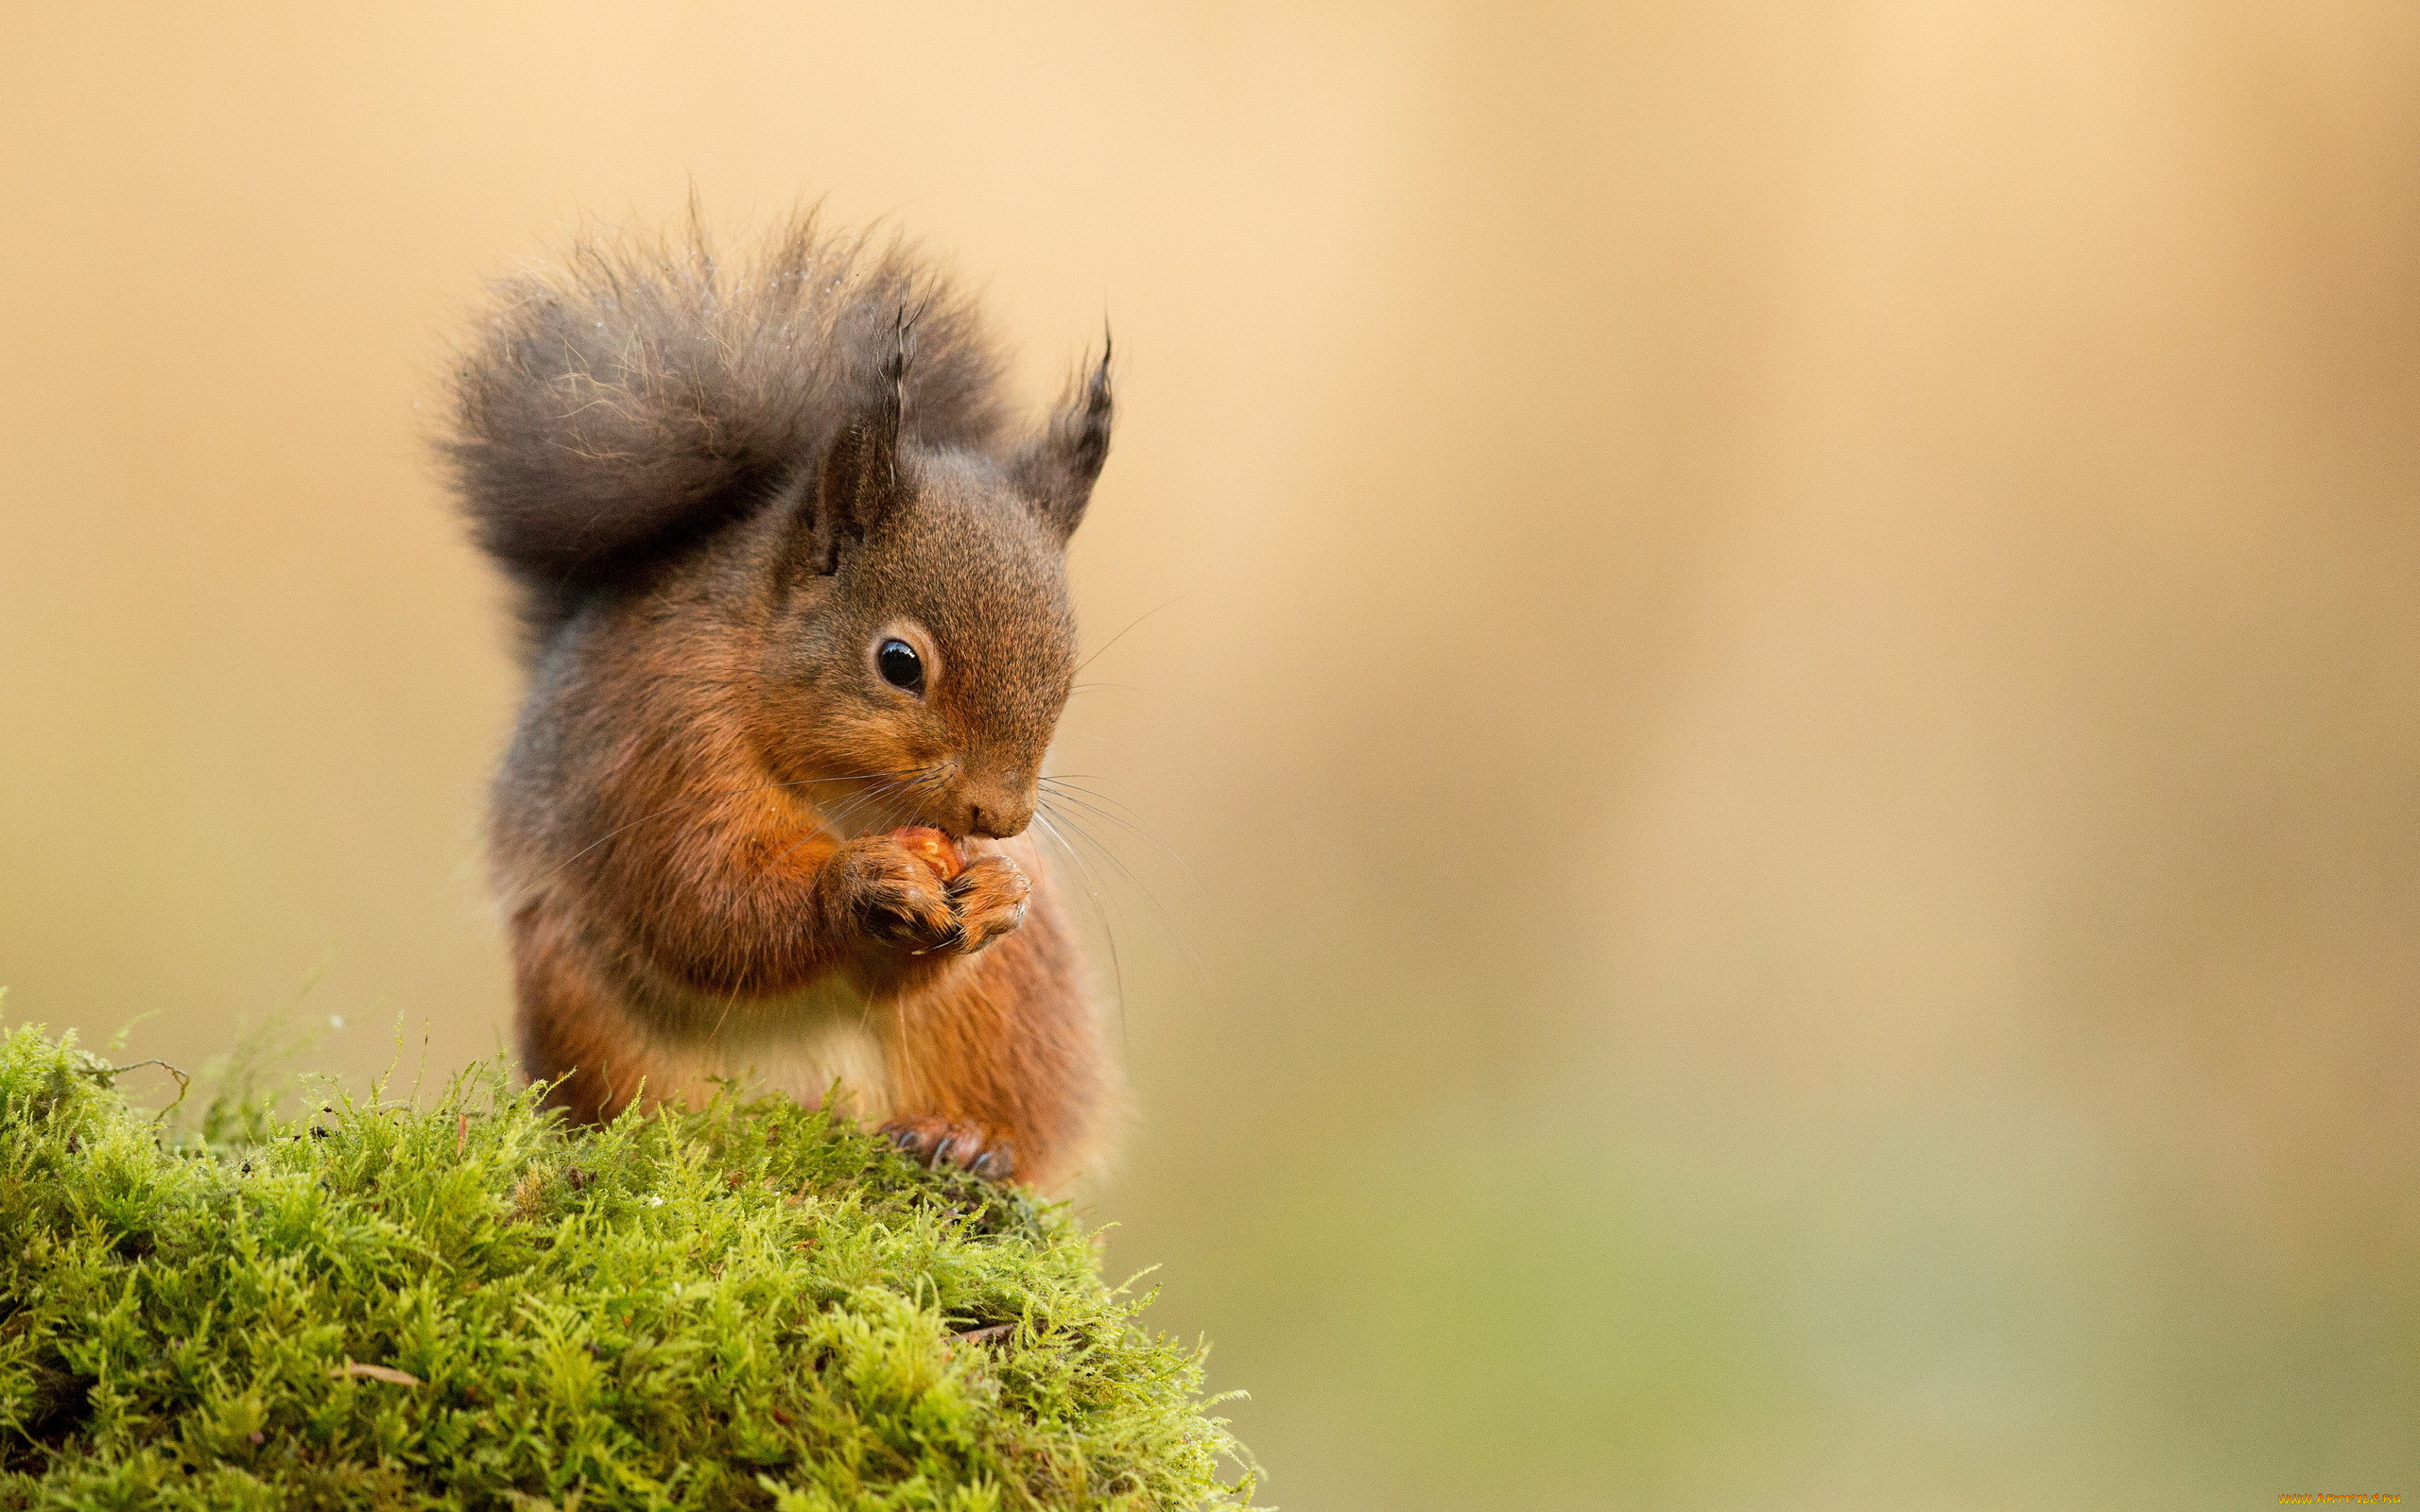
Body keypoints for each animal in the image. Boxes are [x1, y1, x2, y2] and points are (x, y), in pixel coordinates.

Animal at [440, 217, 1108, 1190]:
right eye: (898, 662)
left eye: (1067, 666)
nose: (1004, 817)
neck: (848, 799)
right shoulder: (661, 750)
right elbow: (705, 900)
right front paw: (858, 883)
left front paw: (998, 893)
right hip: (580, 1005)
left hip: (1011, 1018)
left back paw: (962, 1138)